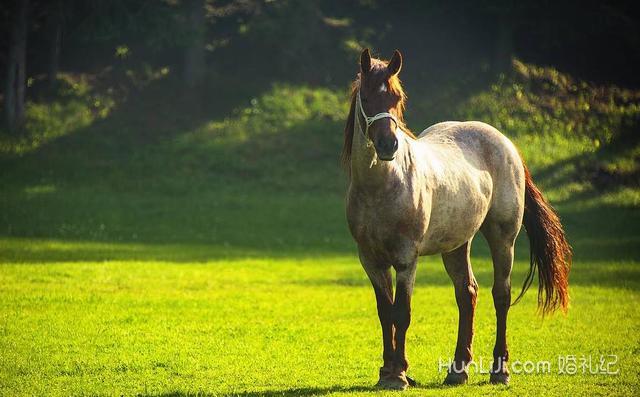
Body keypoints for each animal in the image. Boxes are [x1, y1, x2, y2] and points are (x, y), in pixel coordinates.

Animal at [342, 48, 572, 388]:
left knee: (501, 295)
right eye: (367, 97)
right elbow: (385, 313)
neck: (381, 186)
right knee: (467, 294)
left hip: (503, 238)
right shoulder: (370, 259)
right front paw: (387, 371)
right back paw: (458, 369)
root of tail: (506, 144)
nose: (388, 145)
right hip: (456, 246)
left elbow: (402, 313)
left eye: (397, 98)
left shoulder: (406, 259)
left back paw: (499, 370)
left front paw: (398, 374)